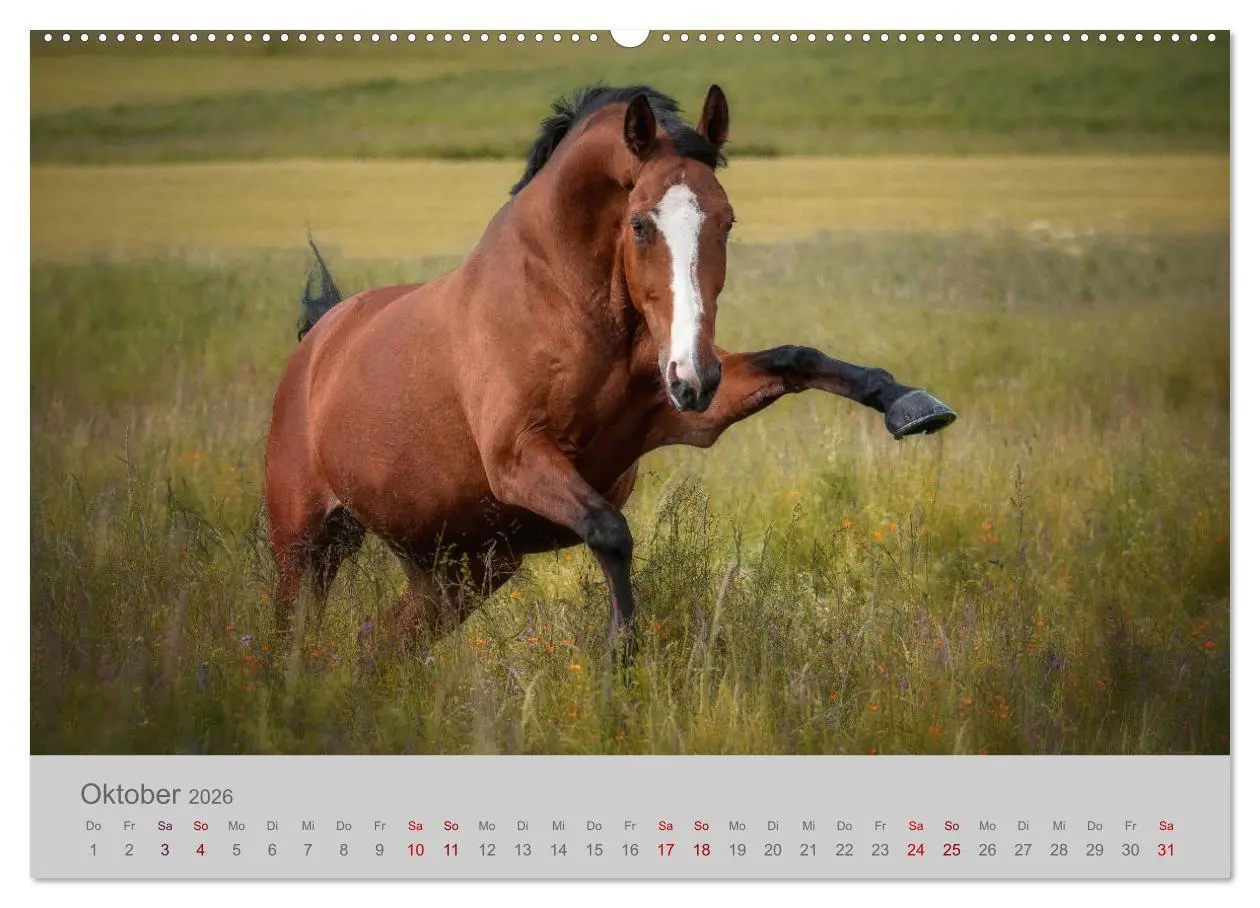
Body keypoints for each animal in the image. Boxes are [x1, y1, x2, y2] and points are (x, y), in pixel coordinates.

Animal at [264, 84, 957, 651]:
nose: (693, 376)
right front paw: (619, 657)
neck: (567, 307)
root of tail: (319, 337)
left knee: (375, 647)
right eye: (640, 223)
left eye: (727, 220)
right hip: (307, 545)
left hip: (459, 571)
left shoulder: (683, 420)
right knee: (294, 643)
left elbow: (798, 359)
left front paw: (912, 407)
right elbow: (610, 530)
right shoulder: (518, 457)